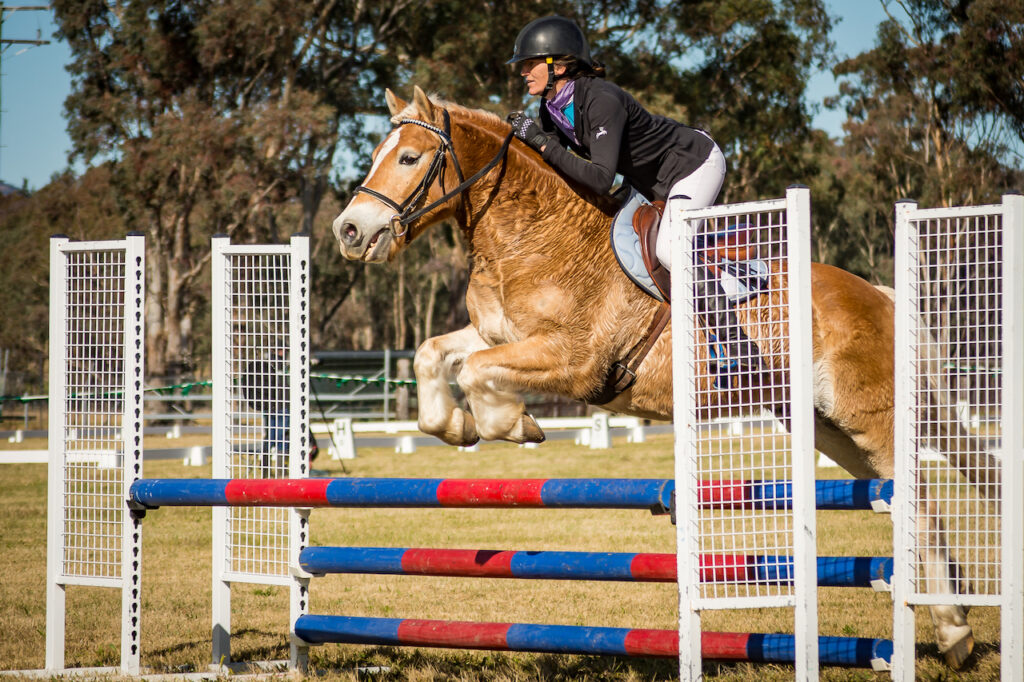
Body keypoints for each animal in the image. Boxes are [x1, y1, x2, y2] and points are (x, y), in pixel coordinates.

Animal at [335, 86, 991, 667]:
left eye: (409, 158)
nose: (349, 232)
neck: (529, 236)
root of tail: (880, 295)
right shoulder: (499, 336)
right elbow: (433, 354)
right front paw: (455, 427)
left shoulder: (573, 360)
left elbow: (475, 373)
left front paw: (512, 425)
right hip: (827, 427)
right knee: (902, 500)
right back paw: (951, 625)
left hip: (874, 416)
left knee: (924, 498)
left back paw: (955, 630)